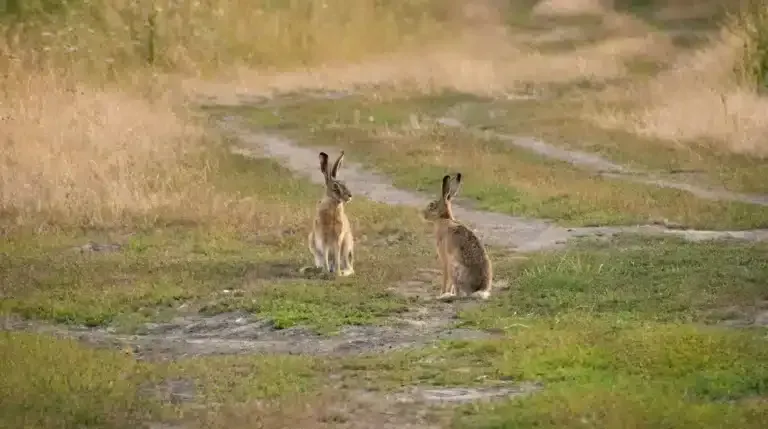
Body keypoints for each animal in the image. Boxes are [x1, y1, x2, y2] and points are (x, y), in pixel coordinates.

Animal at [421, 173, 492, 301]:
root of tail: (477, 290)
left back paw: (445, 296)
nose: (423, 214)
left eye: (432, 205)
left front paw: (441, 293)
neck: (443, 218)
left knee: (459, 294)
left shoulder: (445, 259)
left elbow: (445, 279)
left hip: (454, 268)